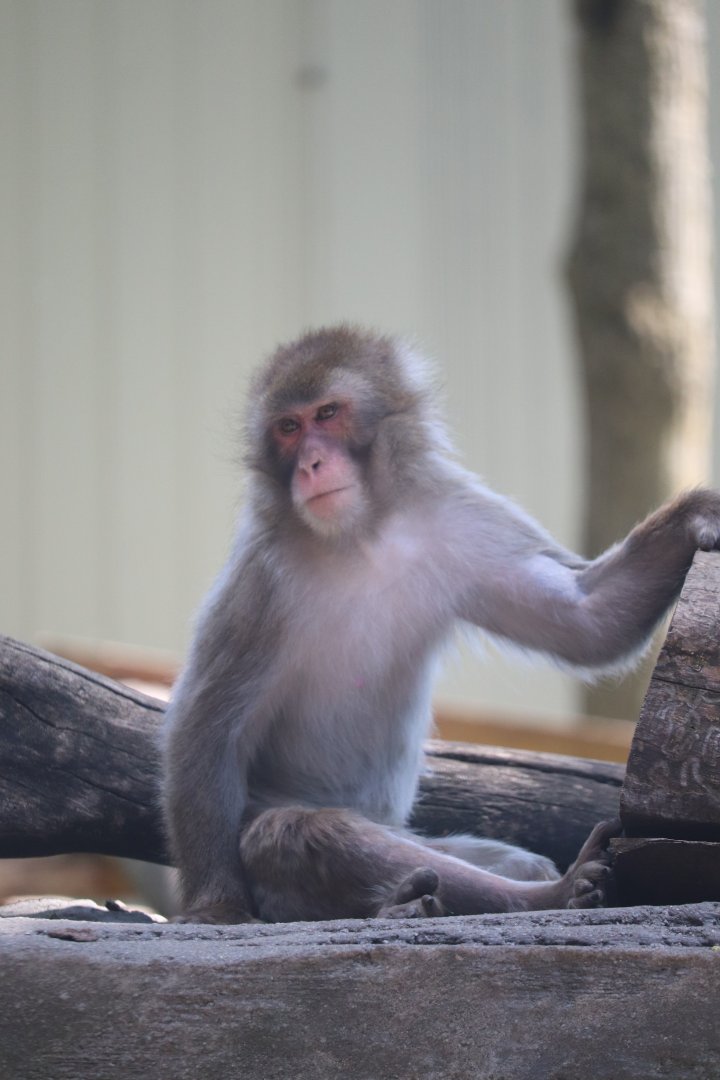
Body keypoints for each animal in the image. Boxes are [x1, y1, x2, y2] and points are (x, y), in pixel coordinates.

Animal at [162, 324, 720, 924]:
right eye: (288, 428)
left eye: (327, 414)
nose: (311, 464)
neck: (361, 536)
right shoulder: (262, 579)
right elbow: (208, 727)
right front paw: (217, 905)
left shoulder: (458, 520)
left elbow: (588, 621)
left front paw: (694, 516)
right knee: (289, 832)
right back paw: (531, 894)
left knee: (504, 860)